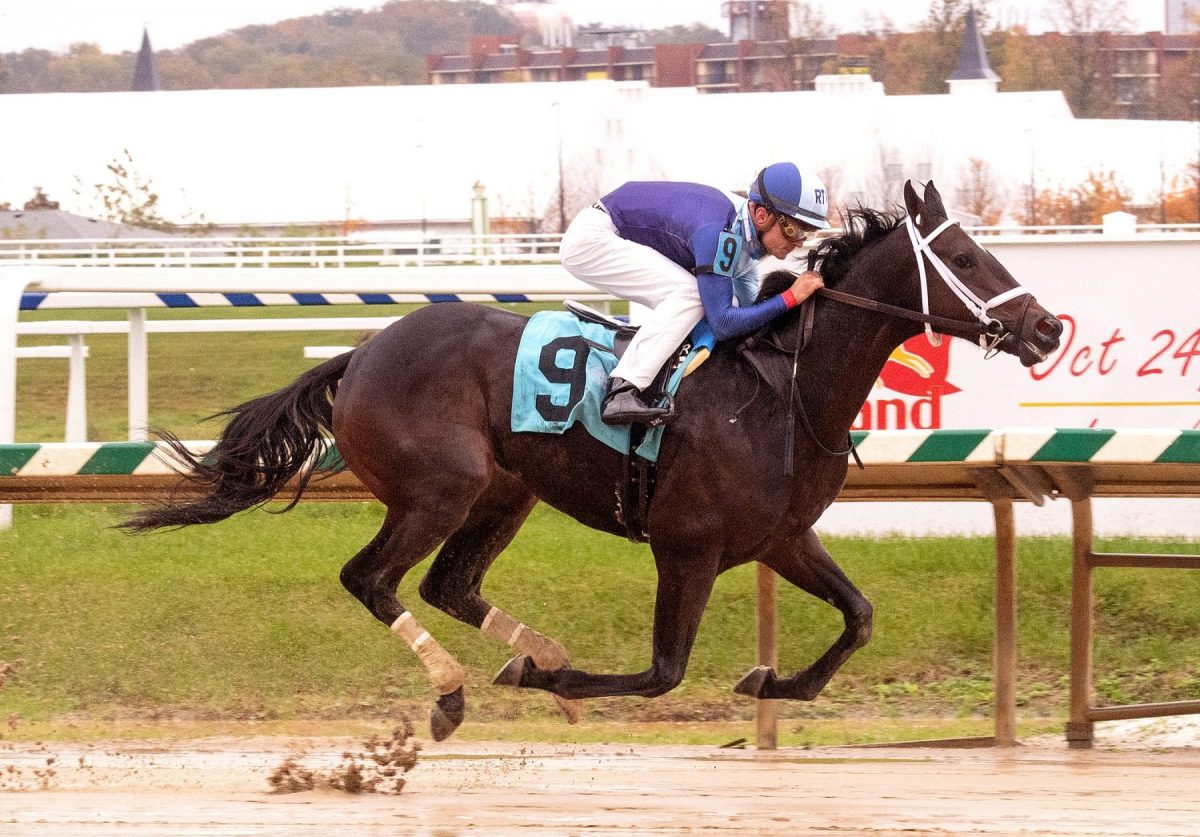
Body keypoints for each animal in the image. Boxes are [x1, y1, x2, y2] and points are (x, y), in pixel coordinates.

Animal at [124, 181, 1060, 738]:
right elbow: (660, 673)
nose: (1048, 327)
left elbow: (859, 616)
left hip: (505, 493)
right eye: (966, 257)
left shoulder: (782, 538)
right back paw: (457, 687)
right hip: (440, 488)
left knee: (448, 584)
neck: (784, 392)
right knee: (373, 579)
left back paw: (530, 647)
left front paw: (773, 683)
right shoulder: (687, 547)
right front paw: (556, 681)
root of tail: (360, 353)